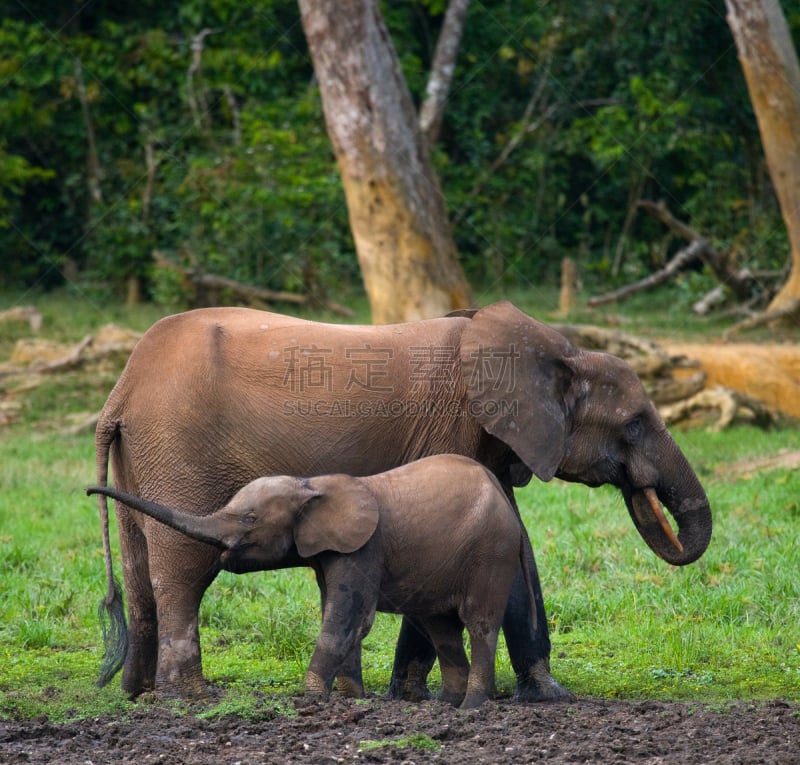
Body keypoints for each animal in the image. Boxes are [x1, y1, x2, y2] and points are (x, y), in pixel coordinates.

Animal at [87, 450, 532, 708]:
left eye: (250, 519)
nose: (91, 491)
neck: (311, 485)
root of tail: (505, 501)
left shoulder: (364, 548)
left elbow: (348, 616)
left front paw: (313, 699)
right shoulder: (328, 552)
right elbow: (339, 615)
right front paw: (352, 699)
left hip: (492, 551)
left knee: (479, 623)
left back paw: (472, 707)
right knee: (441, 628)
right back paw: (447, 706)